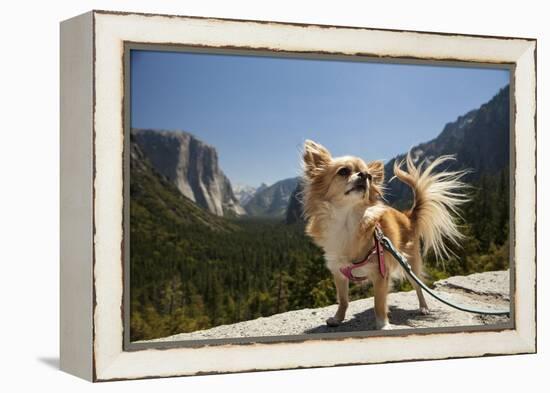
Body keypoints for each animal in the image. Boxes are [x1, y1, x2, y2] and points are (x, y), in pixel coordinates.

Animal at [302, 139, 470, 330]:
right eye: (343, 171)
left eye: (369, 176)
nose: (364, 175)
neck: (347, 221)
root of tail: (408, 216)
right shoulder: (339, 272)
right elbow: (343, 300)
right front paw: (338, 318)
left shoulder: (381, 273)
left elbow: (379, 302)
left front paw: (383, 325)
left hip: (409, 264)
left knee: (419, 287)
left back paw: (423, 308)